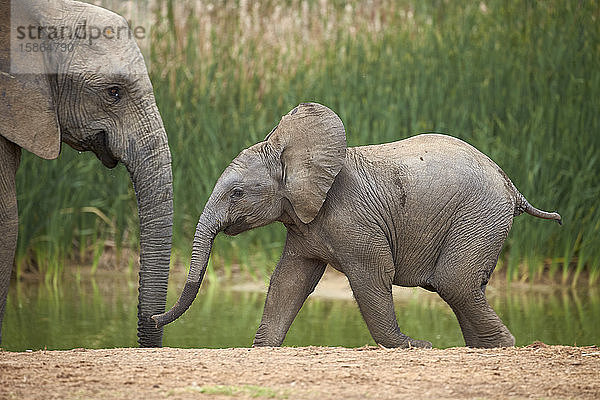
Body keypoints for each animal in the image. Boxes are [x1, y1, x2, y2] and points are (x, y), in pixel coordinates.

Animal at [152, 102, 560, 346]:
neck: (293, 153)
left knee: (454, 283)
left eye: (236, 193)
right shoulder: (304, 222)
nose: (155, 319)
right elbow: (289, 281)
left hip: (479, 214)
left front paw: (412, 346)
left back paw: (503, 347)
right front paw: (262, 348)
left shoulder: (352, 218)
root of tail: (510, 185)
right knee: (465, 286)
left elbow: (372, 275)